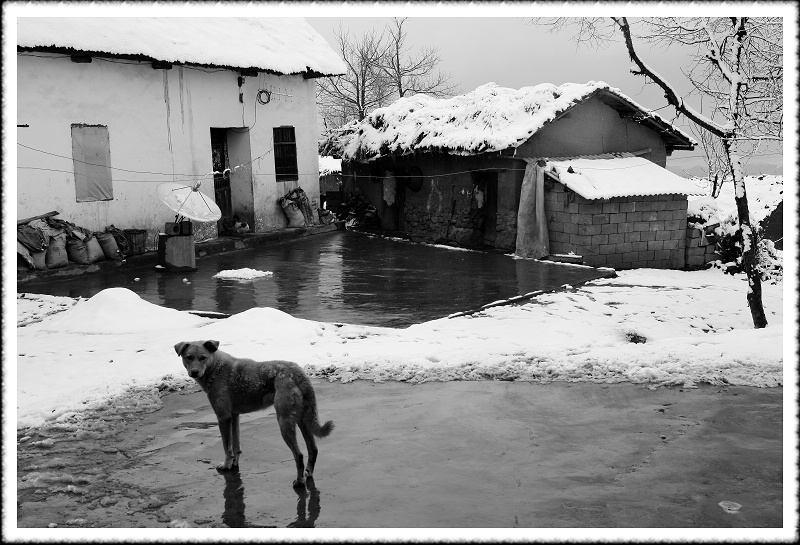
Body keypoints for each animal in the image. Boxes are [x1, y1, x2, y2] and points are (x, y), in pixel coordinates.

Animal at [175, 338, 334, 486]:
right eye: (189, 357)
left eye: (203, 357)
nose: (194, 372)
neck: (216, 368)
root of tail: (298, 373)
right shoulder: (234, 416)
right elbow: (236, 445)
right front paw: (234, 464)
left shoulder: (223, 417)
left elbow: (227, 447)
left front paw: (226, 465)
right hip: (302, 420)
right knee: (313, 449)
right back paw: (308, 473)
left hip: (284, 422)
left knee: (299, 455)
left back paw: (300, 482)